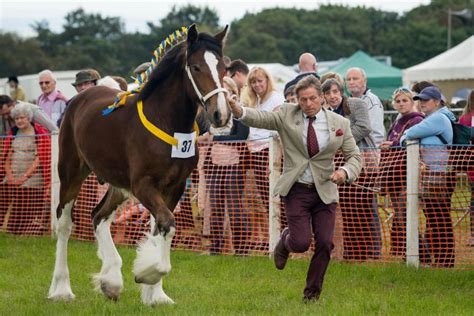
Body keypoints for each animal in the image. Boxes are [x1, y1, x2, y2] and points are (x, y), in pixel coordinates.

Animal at [48, 25, 231, 306]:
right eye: (197, 67)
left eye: (223, 68)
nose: (220, 114)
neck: (167, 122)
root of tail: (79, 98)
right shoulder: (143, 185)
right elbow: (167, 224)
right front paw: (147, 274)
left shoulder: (175, 187)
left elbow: (161, 228)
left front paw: (156, 293)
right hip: (71, 173)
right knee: (65, 224)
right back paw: (61, 289)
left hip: (118, 184)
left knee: (98, 216)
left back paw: (111, 281)